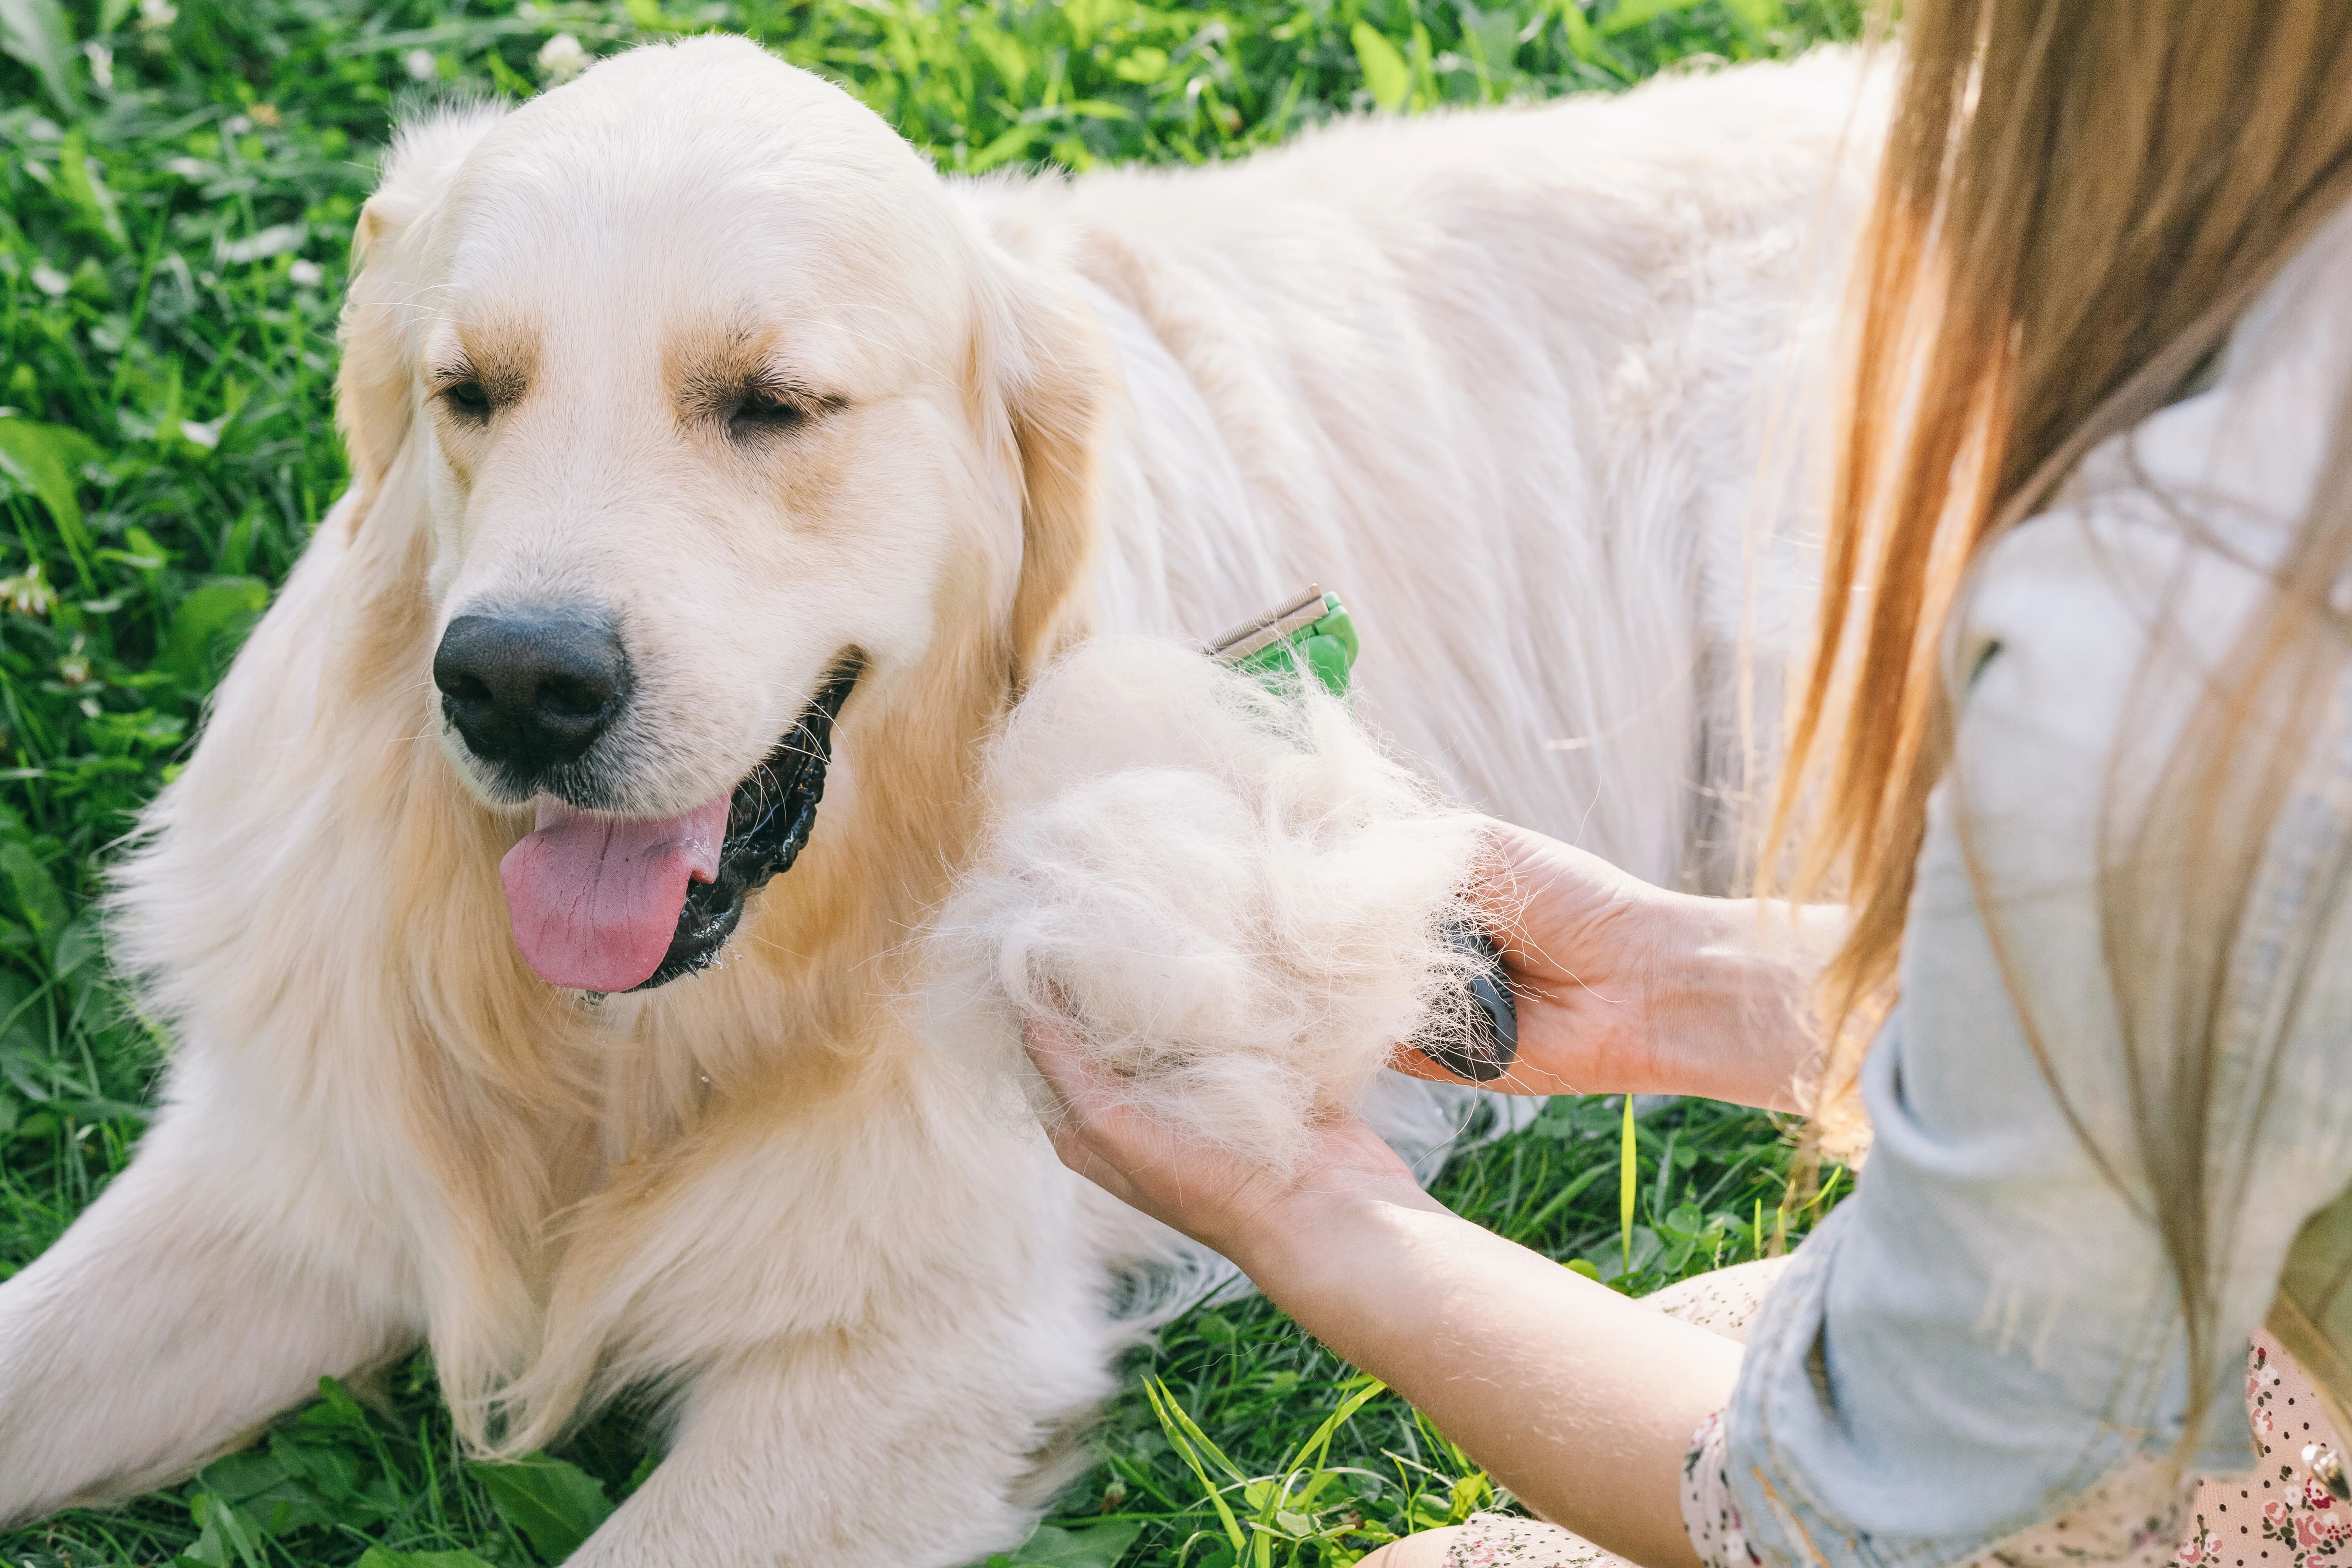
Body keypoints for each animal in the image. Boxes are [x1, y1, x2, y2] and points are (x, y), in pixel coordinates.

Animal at [0, 36, 1872, 1568]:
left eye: (774, 403)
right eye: (470, 395)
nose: (516, 684)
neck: (640, 1049)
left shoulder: (912, 1370)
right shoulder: (289, 1174)